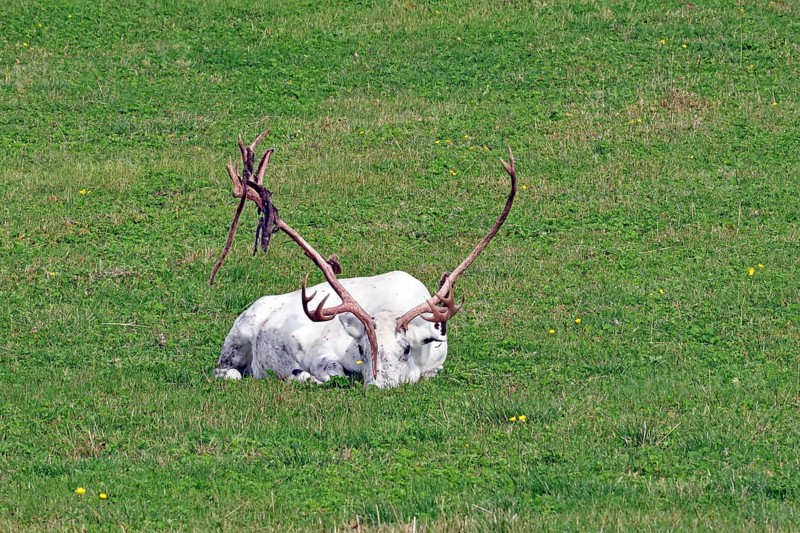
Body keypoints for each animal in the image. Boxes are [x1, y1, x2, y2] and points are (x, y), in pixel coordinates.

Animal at [210, 130, 516, 388]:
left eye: (406, 348)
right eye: (361, 348)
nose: (379, 386)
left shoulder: (436, 363)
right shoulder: (324, 353)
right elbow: (330, 374)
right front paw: (301, 374)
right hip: (236, 339)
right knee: (227, 371)